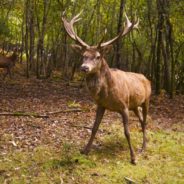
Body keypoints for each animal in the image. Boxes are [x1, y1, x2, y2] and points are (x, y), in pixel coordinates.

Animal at [62, 12, 152, 164]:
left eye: (98, 56)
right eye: (83, 56)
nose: (84, 68)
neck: (108, 93)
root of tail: (146, 78)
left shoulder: (124, 106)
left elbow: (127, 132)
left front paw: (133, 158)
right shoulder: (101, 105)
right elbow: (94, 128)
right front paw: (85, 150)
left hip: (146, 100)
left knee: (145, 120)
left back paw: (143, 147)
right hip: (134, 105)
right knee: (141, 119)